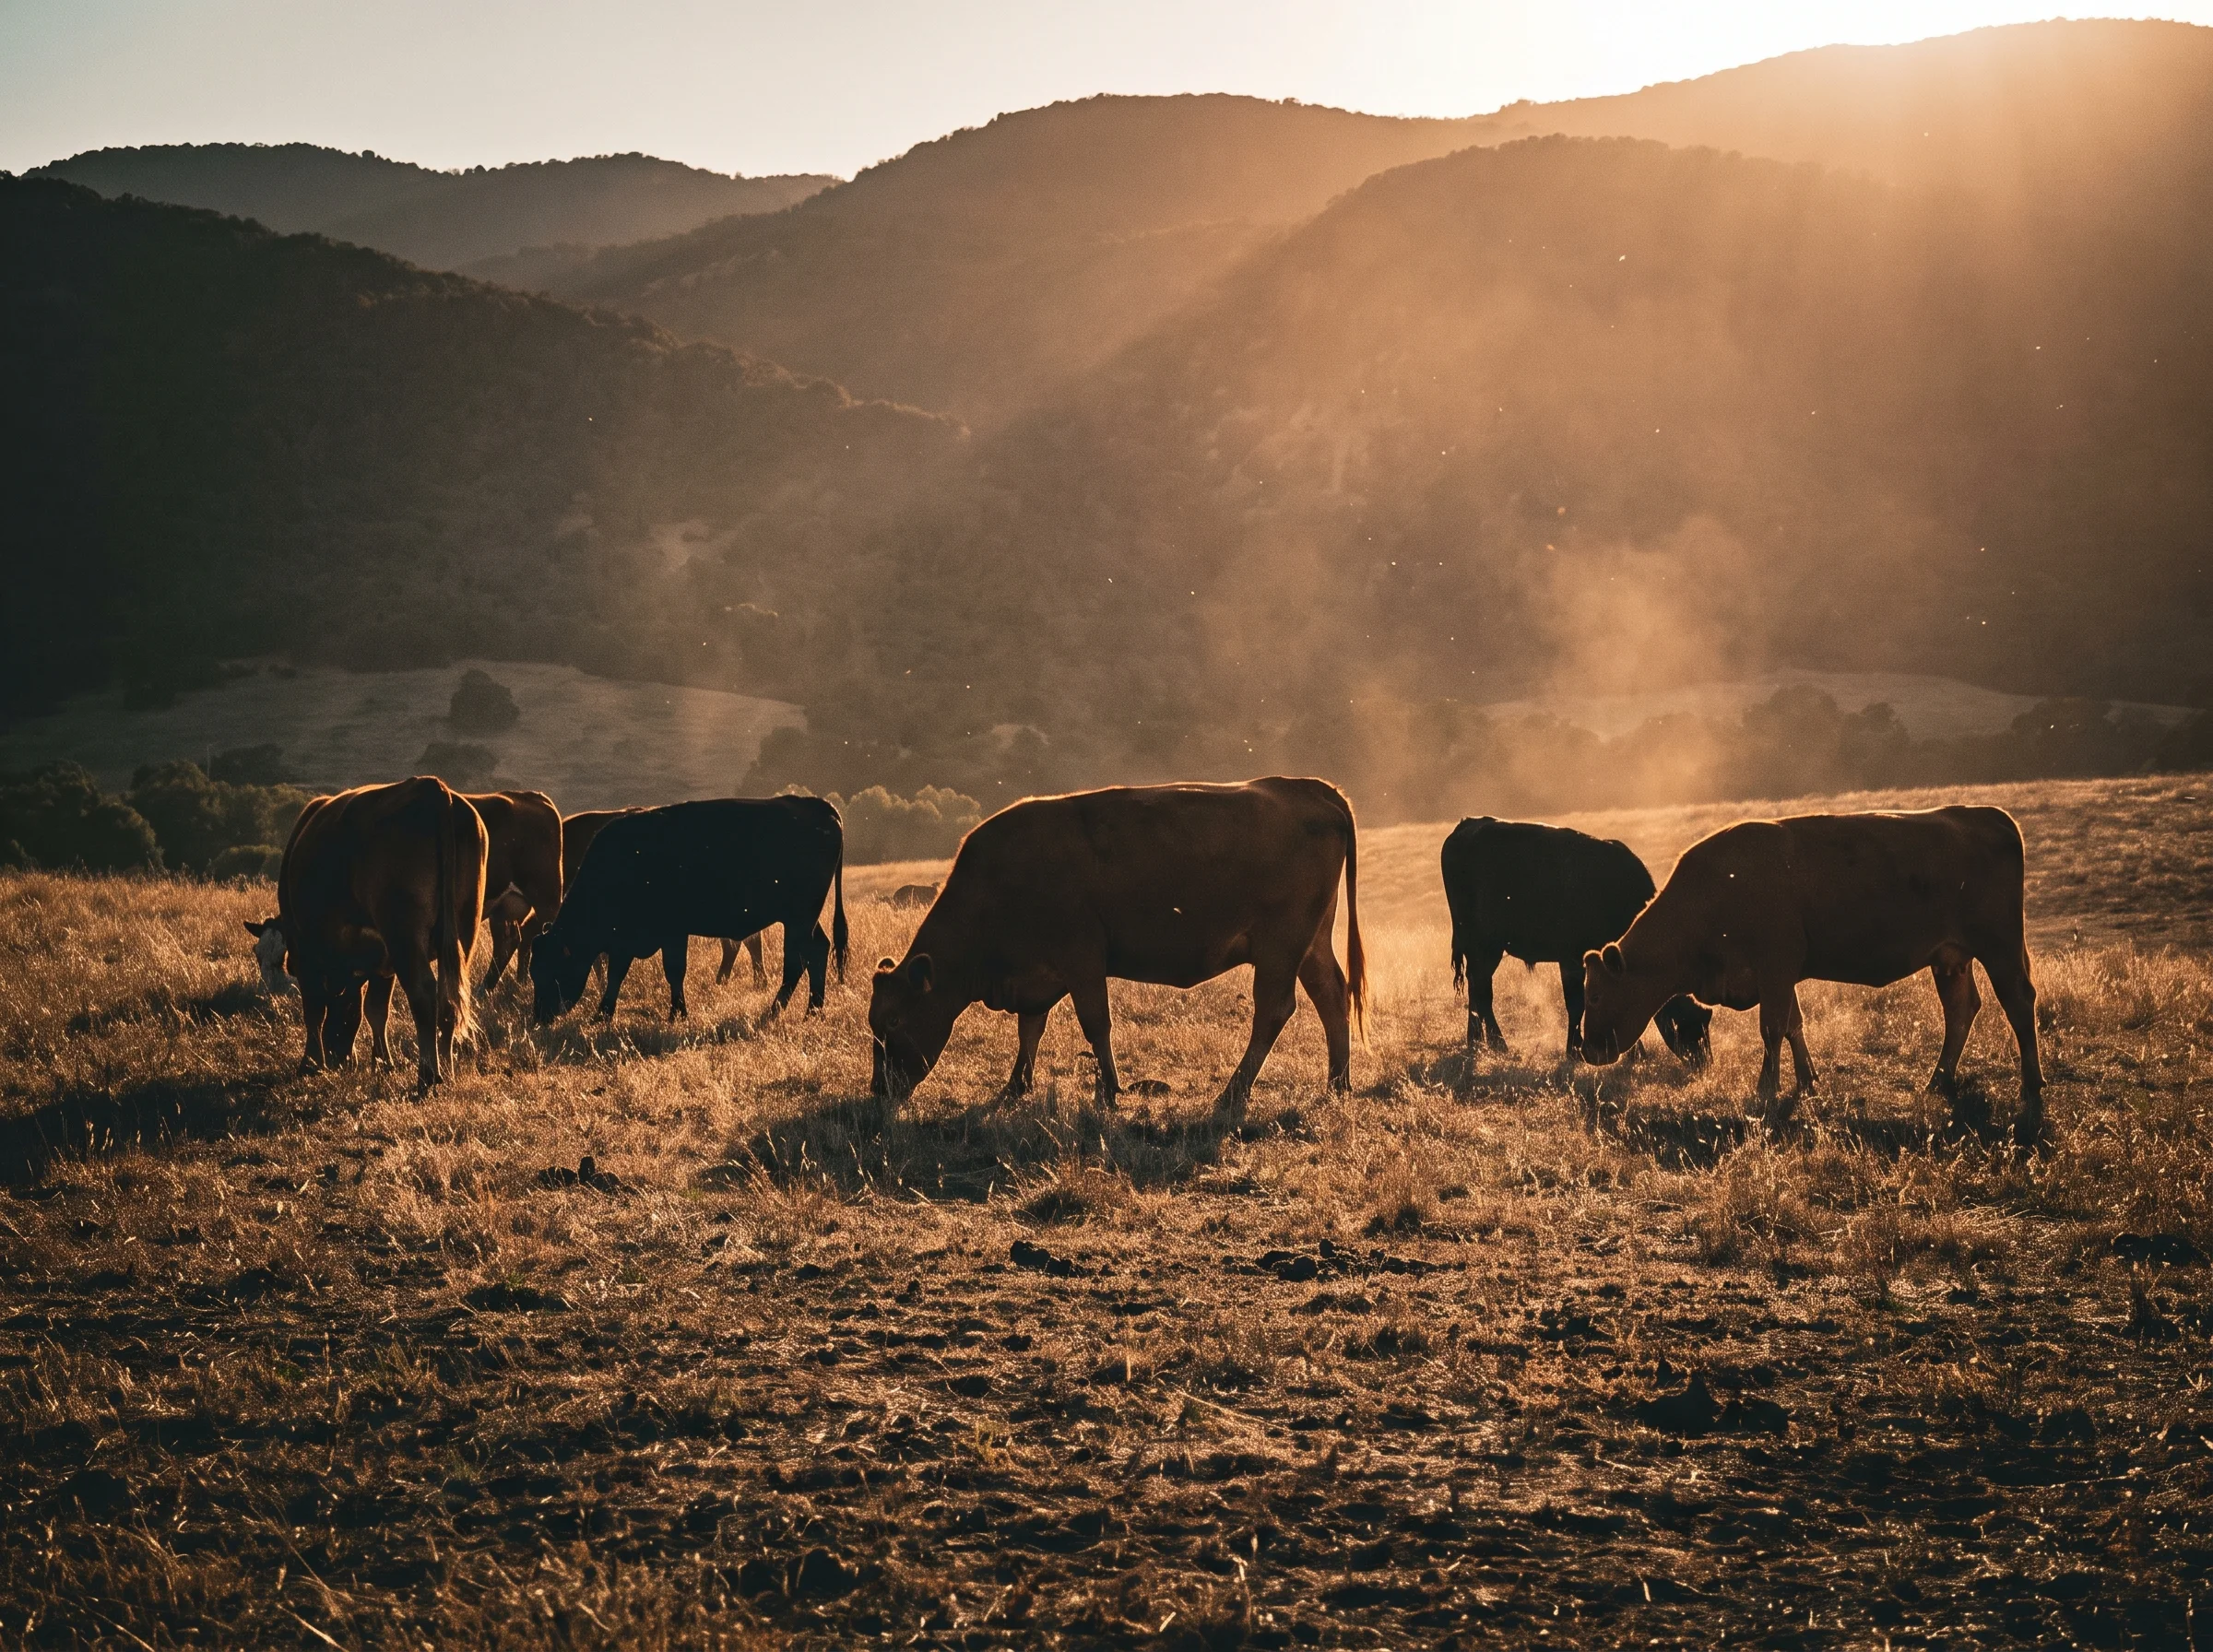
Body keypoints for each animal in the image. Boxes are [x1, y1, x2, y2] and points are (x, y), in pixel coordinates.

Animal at [243, 776, 486, 1092]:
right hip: (462, 932)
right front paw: (381, 1062)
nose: (340, 1058)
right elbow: (372, 1010)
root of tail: (431, 787)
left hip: (404, 935)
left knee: (423, 994)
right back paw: (446, 1069)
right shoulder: (381, 964)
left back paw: (428, 1075)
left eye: (285, 964)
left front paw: (310, 1063)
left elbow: (315, 1009)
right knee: (449, 999)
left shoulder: (305, 952)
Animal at [869, 777, 1365, 1116]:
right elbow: (1030, 1029)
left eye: (894, 1020)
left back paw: (1233, 1092)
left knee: (1274, 1010)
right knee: (1331, 995)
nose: (879, 1090)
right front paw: (1015, 1086)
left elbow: (1095, 1025)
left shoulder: (1083, 960)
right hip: (1311, 944)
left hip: (1281, 947)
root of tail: (1308, 788)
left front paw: (1108, 1090)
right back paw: (1337, 1084)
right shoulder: (1036, 978)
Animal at [1442, 816, 1711, 1063]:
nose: (1704, 1061)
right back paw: (1496, 1044)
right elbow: (1576, 1004)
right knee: (1482, 990)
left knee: (1477, 989)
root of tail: (1469, 824)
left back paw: (1478, 1042)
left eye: (1707, 1020)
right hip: (1484, 946)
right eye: (1683, 1020)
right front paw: (1574, 1050)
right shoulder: (1571, 958)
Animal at [1579, 806, 2043, 1146]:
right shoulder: (1783, 975)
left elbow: (1771, 1029)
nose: (1588, 1049)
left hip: (2000, 949)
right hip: (1951, 959)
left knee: (2019, 1006)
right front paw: (1807, 1081)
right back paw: (1938, 1081)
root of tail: (1985, 814)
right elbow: (1792, 1025)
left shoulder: (1775, 967)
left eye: (1596, 996)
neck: (1710, 897)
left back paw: (2031, 1087)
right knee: (1960, 1011)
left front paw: (1766, 1090)